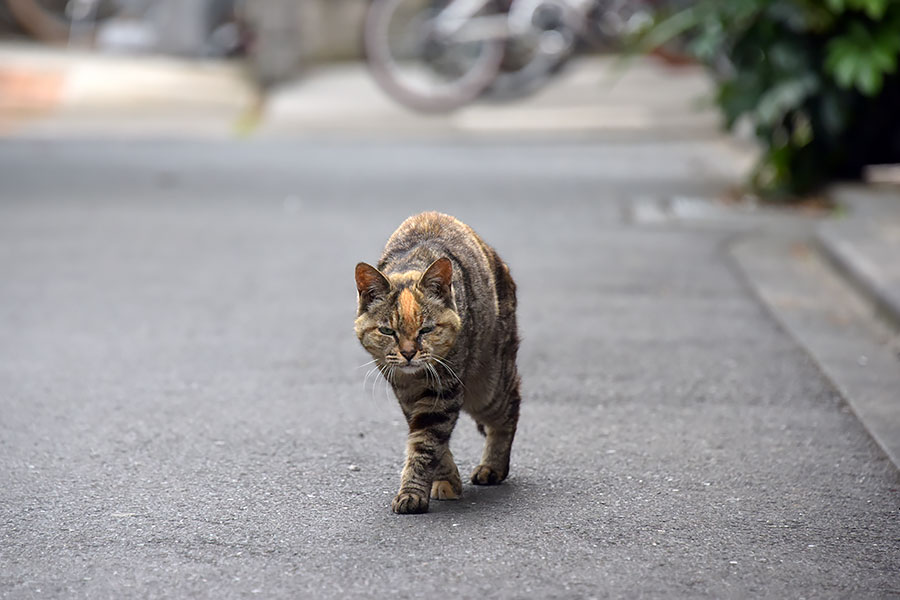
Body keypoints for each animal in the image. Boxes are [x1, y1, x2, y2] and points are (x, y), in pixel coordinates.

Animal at [352, 213, 520, 512]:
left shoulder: (443, 390)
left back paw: (493, 467)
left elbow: (426, 443)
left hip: (488, 386)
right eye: (387, 331)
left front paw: (412, 494)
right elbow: (429, 440)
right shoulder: (407, 395)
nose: (408, 353)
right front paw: (446, 480)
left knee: (510, 406)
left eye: (426, 330)